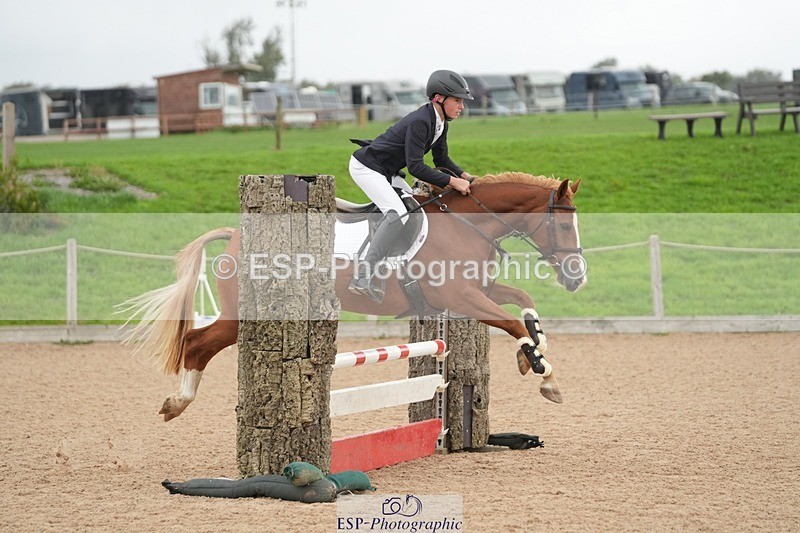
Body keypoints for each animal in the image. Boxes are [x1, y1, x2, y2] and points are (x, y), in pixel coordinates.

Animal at [122, 172, 585, 421]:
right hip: (244, 315)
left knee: (197, 342)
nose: (577, 277)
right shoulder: (464, 297)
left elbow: (523, 301)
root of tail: (235, 234)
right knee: (196, 342)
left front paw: (532, 355)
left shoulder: (480, 290)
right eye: (564, 226)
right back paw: (176, 402)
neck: (467, 224)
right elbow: (510, 321)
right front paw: (545, 375)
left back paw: (175, 402)